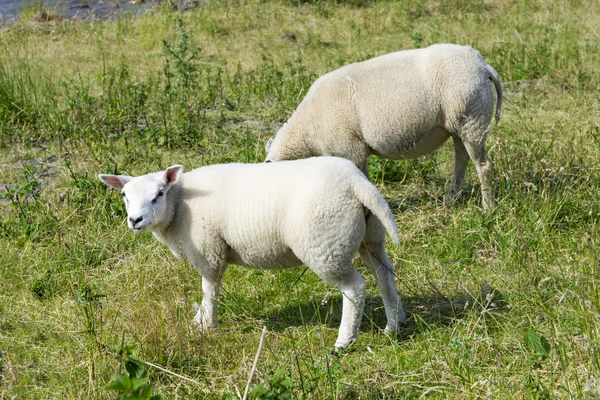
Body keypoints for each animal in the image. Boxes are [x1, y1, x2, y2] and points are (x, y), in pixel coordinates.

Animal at [99, 157, 404, 350]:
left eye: (159, 193)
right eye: (124, 195)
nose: (135, 220)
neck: (179, 205)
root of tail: (355, 182)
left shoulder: (209, 250)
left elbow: (209, 289)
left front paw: (207, 326)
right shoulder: (216, 249)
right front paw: (199, 320)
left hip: (326, 244)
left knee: (355, 288)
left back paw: (344, 341)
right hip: (370, 237)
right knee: (385, 276)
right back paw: (394, 325)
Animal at [264, 43, 504, 211]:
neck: (307, 132)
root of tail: (482, 65)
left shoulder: (349, 150)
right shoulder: (356, 151)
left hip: (472, 119)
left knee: (483, 165)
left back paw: (488, 207)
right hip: (460, 123)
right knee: (462, 160)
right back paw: (452, 199)